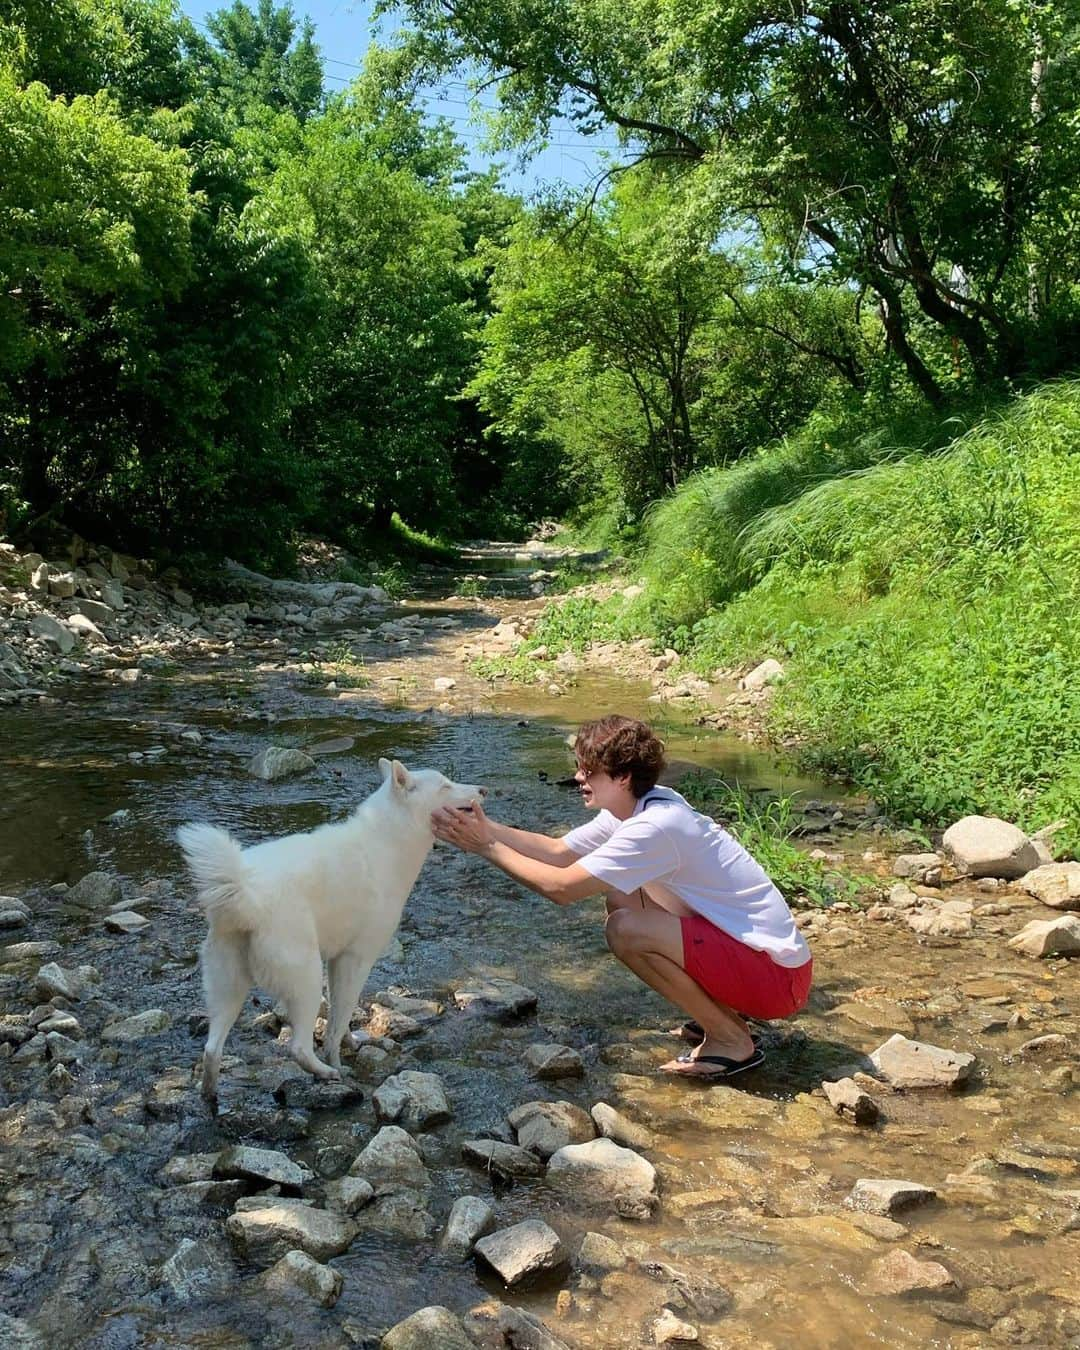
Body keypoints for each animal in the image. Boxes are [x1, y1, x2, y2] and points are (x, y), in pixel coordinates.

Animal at [178, 756, 486, 1101]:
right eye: (445, 785)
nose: (483, 790)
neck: (386, 842)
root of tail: (248, 896)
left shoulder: (337, 960)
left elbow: (340, 1015)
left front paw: (351, 1040)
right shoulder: (355, 960)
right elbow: (339, 1018)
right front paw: (337, 1057)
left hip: (227, 987)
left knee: (211, 1049)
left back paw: (210, 1095)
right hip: (305, 980)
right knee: (298, 1048)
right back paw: (327, 1073)